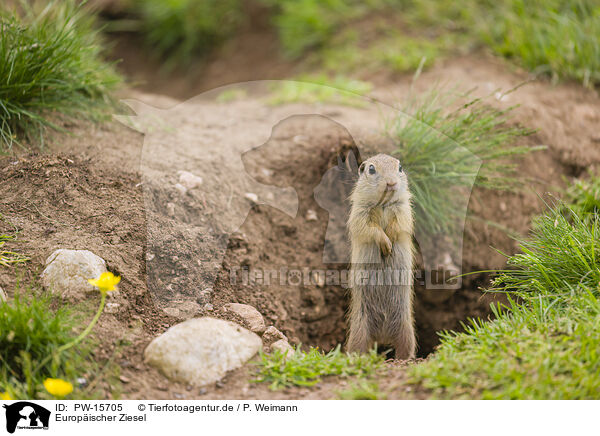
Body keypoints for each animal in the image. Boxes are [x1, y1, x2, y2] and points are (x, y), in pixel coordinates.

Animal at [344, 152, 414, 358]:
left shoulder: (404, 209)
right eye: (371, 169)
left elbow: (399, 224)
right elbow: (370, 229)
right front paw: (385, 244)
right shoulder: (360, 212)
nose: (391, 183)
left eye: (400, 168)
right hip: (359, 330)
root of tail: (382, 336)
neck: (383, 204)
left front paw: (390, 241)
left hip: (407, 329)